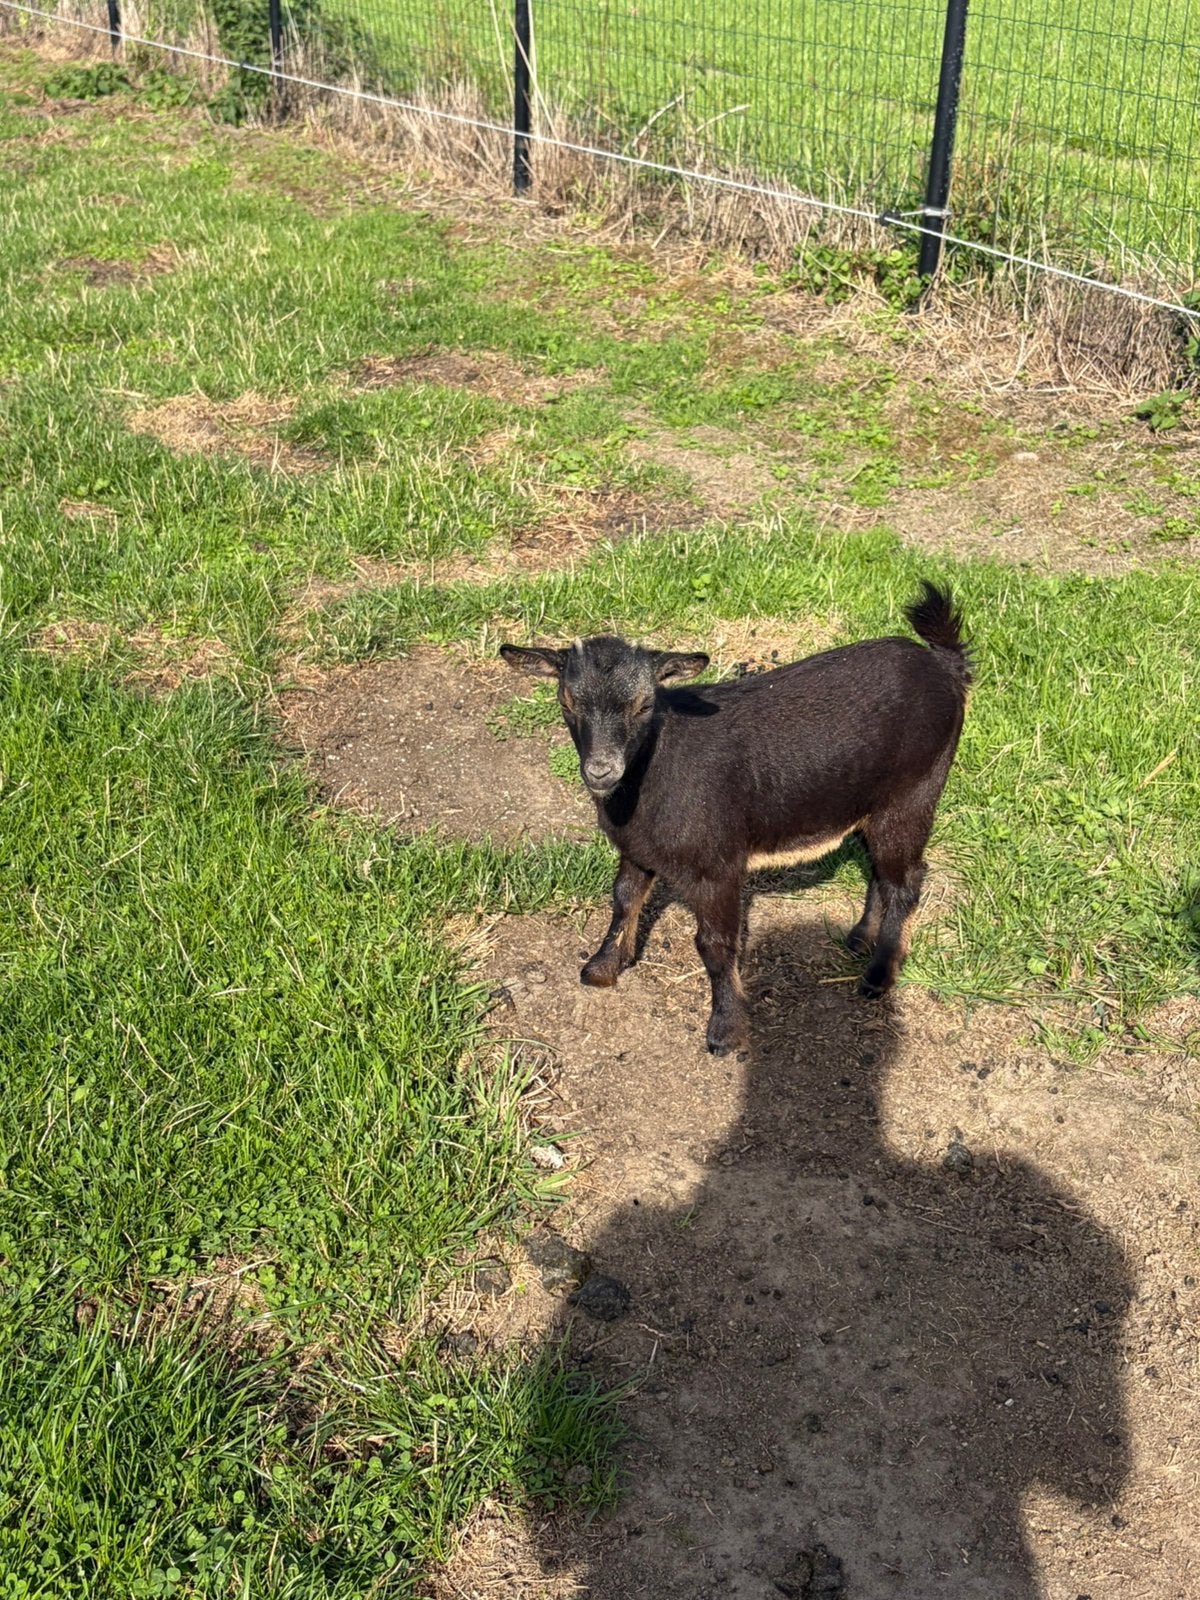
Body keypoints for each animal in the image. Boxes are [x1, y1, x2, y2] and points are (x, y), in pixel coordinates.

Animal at [500, 583, 970, 1056]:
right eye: (566, 702)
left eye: (645, 704)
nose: (601, 771)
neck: (653, 768)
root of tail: (945, 666)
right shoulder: (638, 849)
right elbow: (624, 898)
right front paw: (602, 966)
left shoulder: (719, 865)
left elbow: (714, 943)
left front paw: (726, 1028)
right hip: (872, 805)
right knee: (881, 871)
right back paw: (859, 939)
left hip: (913, 795)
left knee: (906, 879)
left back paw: (878, 976)